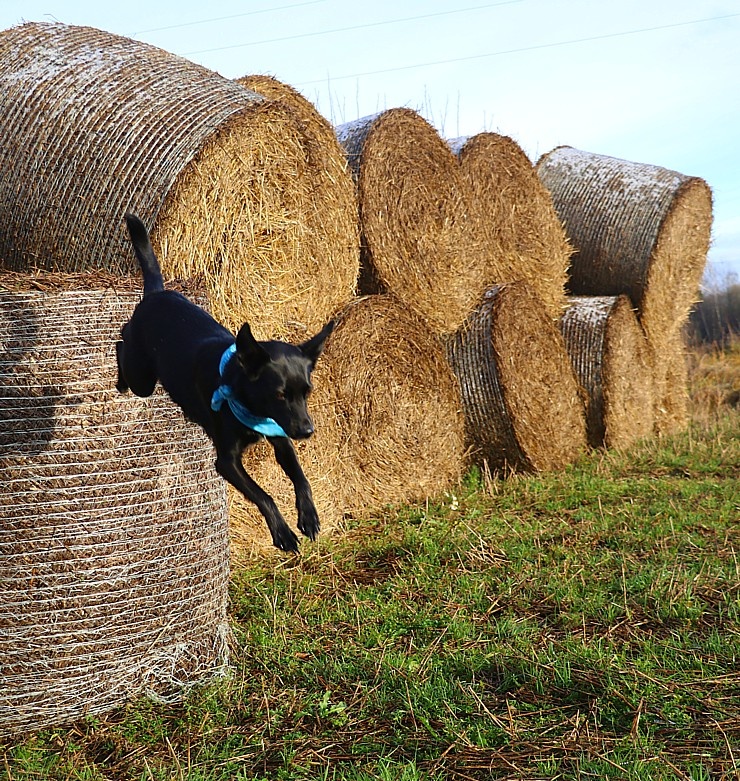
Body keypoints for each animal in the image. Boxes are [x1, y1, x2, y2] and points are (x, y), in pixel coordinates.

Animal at [116, 213, 336, 552]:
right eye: (279, 394)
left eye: (307, 392)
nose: (307, 431)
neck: (243, 395)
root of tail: (156, 294)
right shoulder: (228, 462)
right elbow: (264, 495)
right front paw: (283, 533)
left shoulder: (280, 435)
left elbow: (301, 477)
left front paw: (308, 516)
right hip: (141, 377)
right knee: (121, 343)